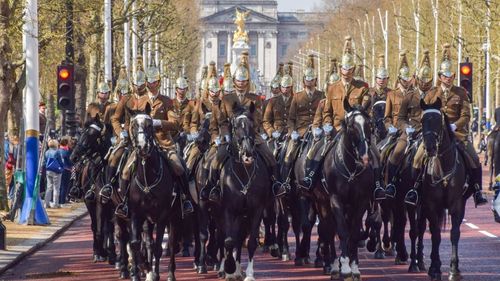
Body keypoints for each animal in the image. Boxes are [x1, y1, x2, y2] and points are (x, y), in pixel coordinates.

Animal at [127, 105, 184, 280]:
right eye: (133, 125)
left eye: (150, 124)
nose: (142, 147)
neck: (147, 178)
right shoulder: (136, 213)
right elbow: (136, 243)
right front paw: (139, 272)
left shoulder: (163, 215)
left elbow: (159, 246)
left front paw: (156, 274)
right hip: (149, 220)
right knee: (149, 243)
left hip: (174, 217)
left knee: (171, 242)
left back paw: (170, 274)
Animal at [420, 97, 470, 280]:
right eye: (422, 121)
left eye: (437, 121)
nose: (430, 148)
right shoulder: (431, 205)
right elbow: (435, 234)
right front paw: (435, 268)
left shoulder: (457, 205)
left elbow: (454, 233)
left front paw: (454, 270)